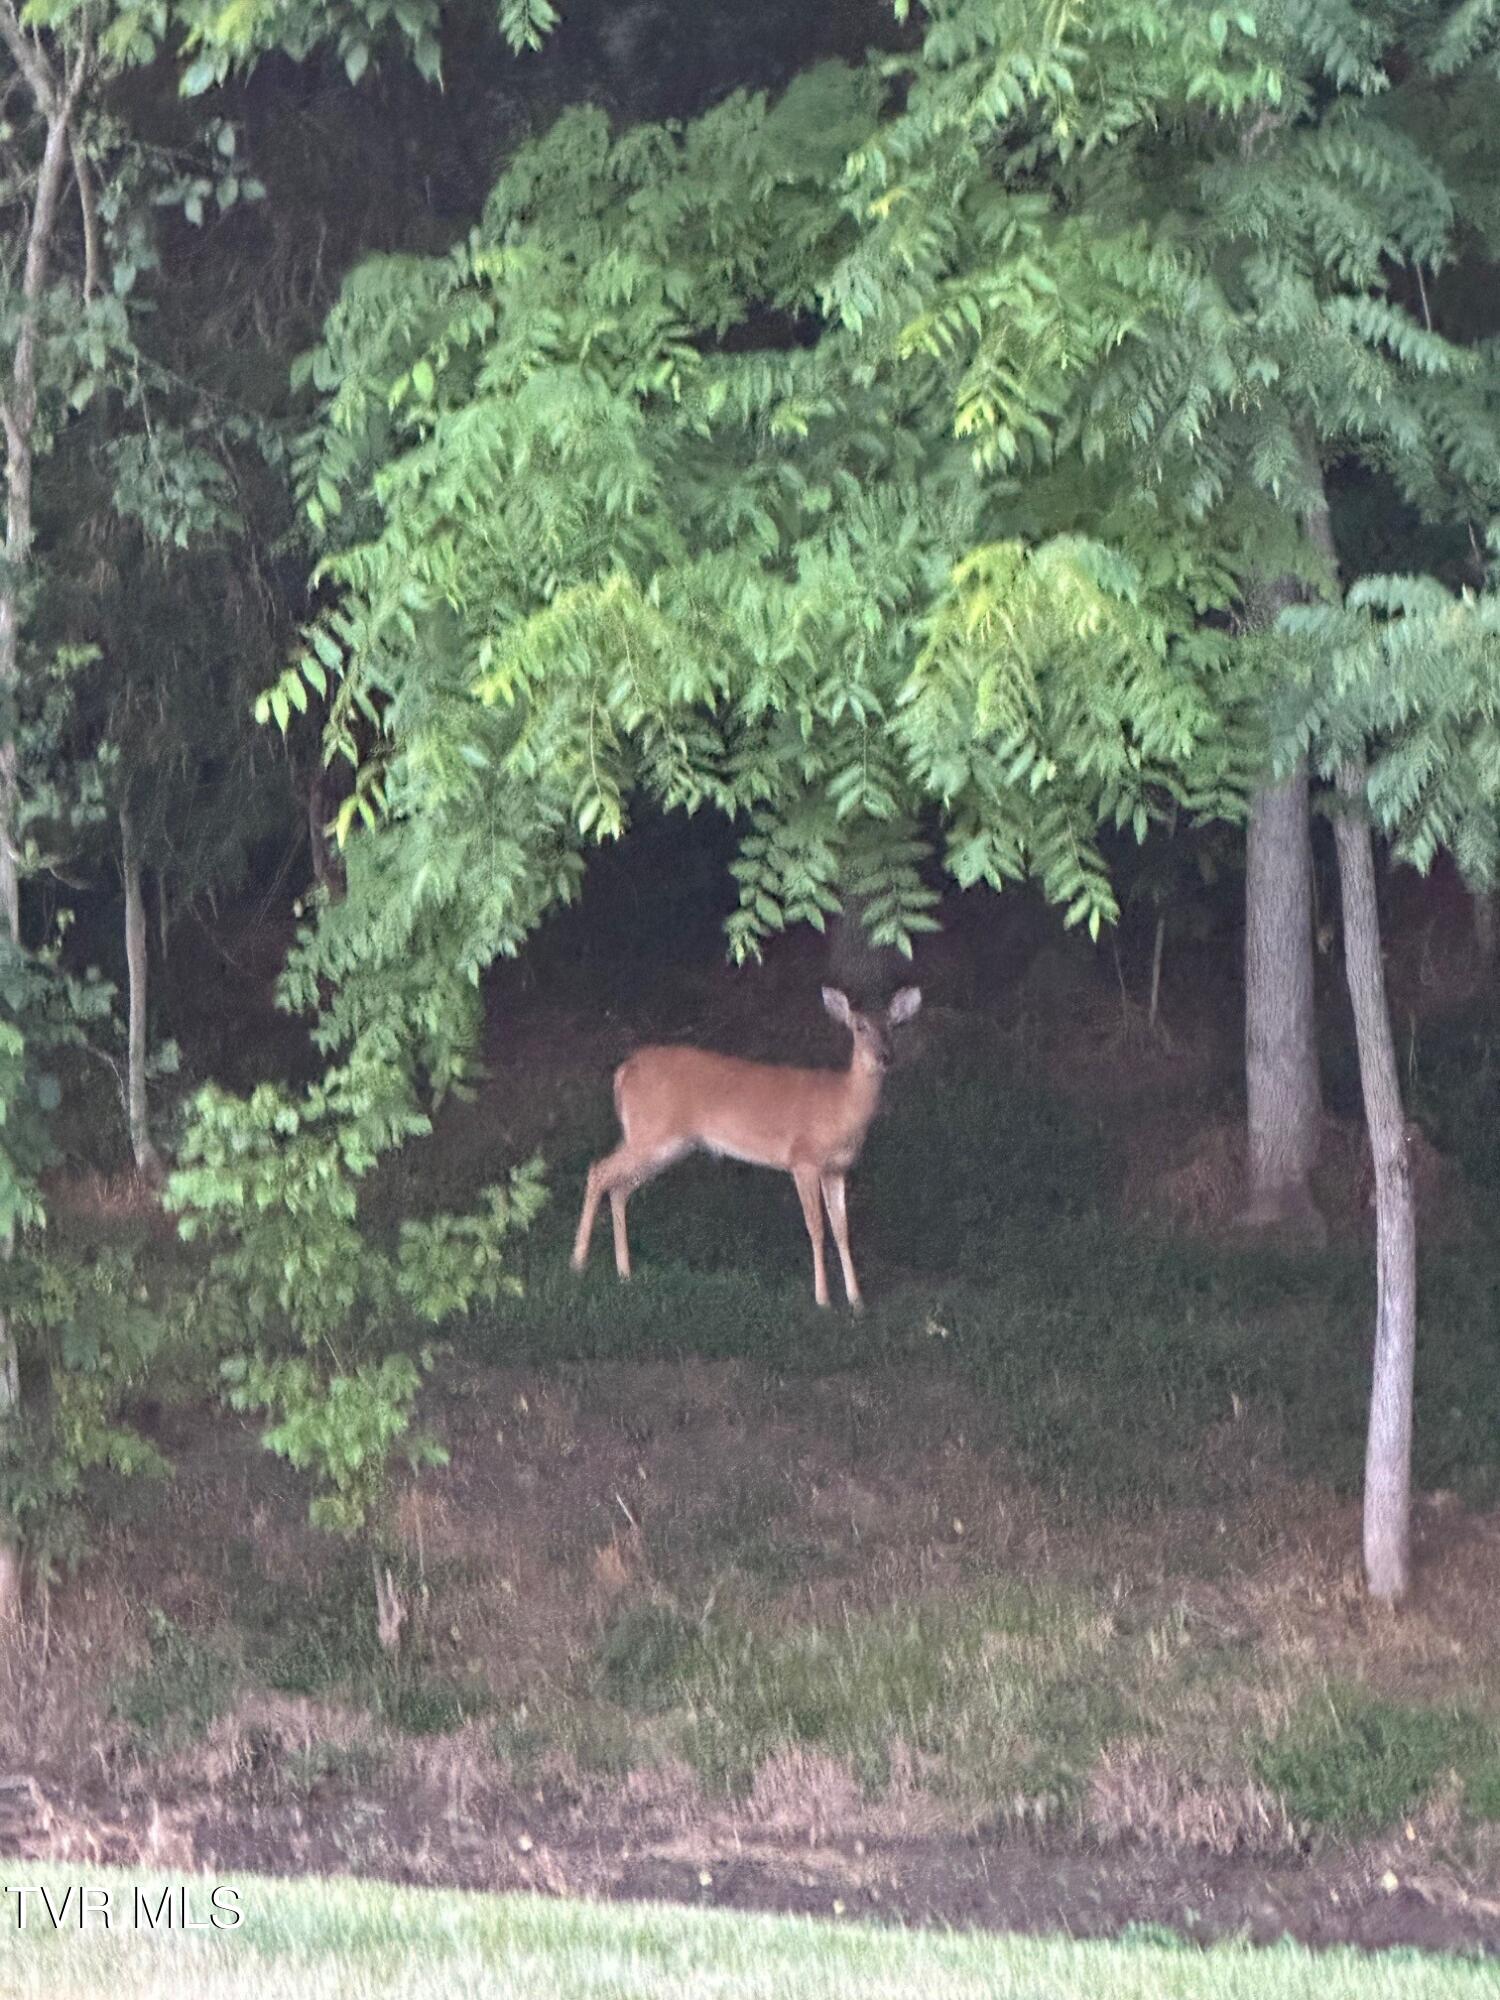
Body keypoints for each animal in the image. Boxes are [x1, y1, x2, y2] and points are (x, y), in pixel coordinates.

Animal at [571, 986, 922, 1310]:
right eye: (859, 1026)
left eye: (893, 1026)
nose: (885, 1057)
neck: (843, 1107)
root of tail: (623, 1071)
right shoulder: (803, 1159)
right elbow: (816, 1227)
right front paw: (822, 1299)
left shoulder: (836, 1169)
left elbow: (842, 1229)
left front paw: (857, 1300)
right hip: (652, 1135)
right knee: (599, 1171)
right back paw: (578, 1263)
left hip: (659, 1142)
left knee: (619, 1187)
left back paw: (624, 1273)